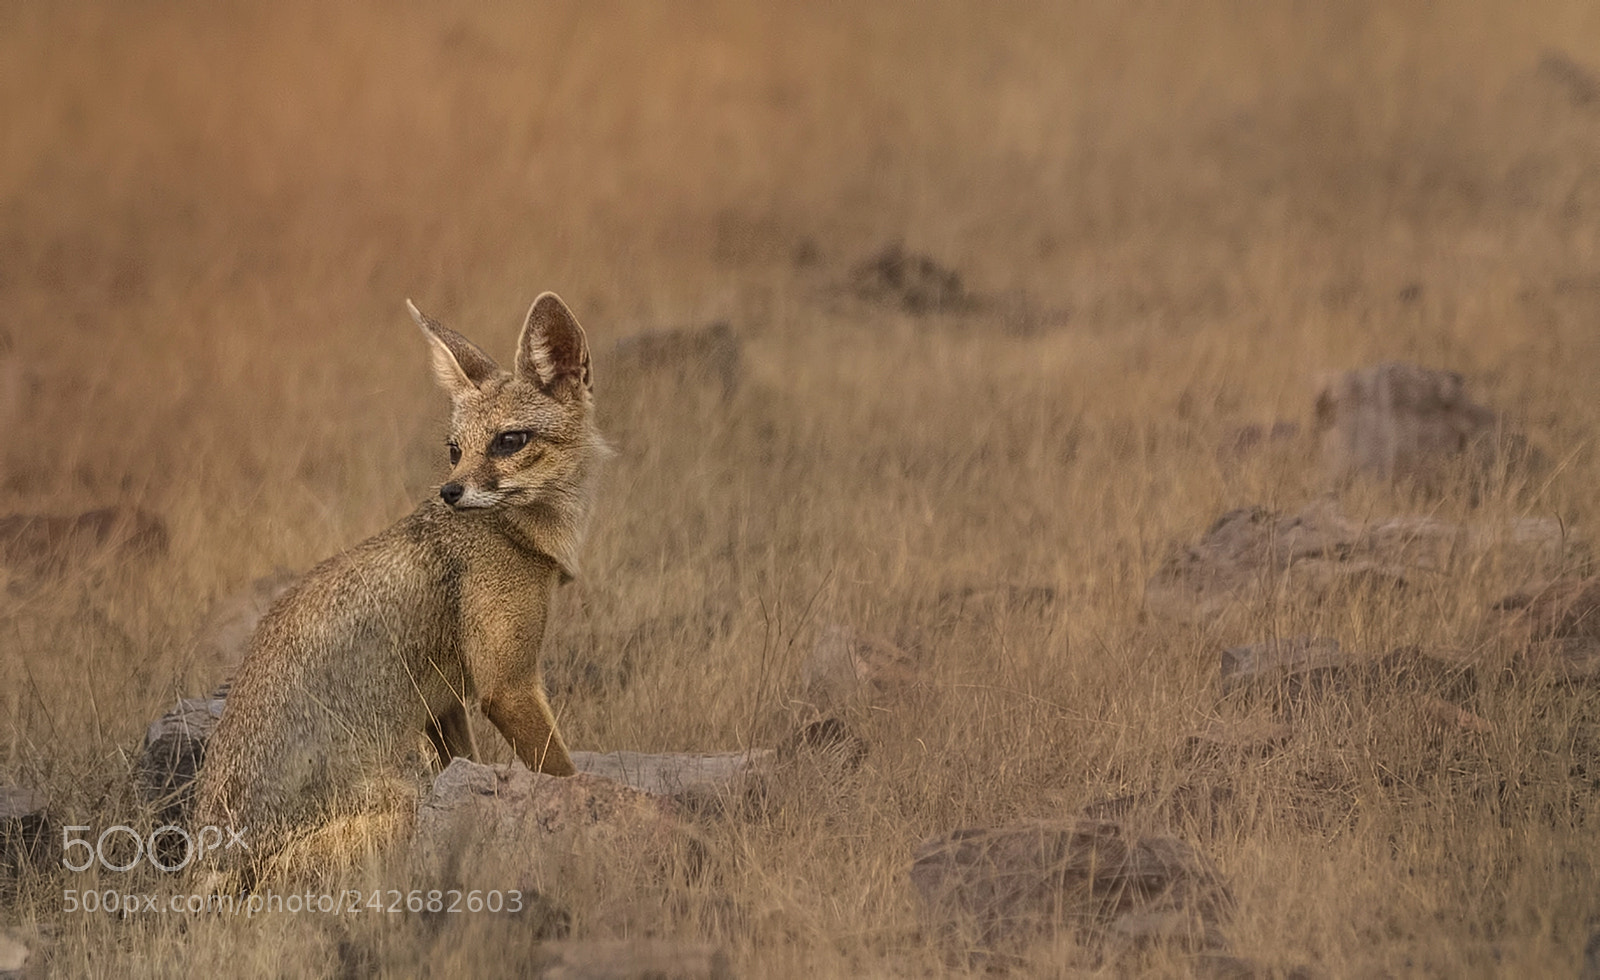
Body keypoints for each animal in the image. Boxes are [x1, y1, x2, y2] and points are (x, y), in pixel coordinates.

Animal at [192, 292, 608, 870]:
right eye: (455, 449)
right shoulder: (507, 687)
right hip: (404, 798)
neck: (520, 535)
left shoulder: (444, 701)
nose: (450, 492)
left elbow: (467, 763)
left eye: (509, 441)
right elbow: (562, 774)